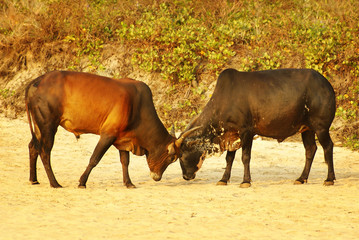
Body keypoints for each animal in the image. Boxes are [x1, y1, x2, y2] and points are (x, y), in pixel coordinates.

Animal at [25, 70, 194, 188]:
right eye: (173, 158)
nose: (156, 177)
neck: (138, 106)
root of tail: (37, 81)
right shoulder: (108, 135)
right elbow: (94, 159)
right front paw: (82, 182)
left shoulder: (123, 138)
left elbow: (125, 162)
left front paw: (128, 183)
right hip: (48, 125)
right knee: (44, 151)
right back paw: (55, 183)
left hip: (39, 126)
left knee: (33, 147)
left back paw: (34, 180)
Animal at [180, 68, 338, 188]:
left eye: (181, 155)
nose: (186, 176)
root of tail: (327, 84)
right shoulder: (232, 135)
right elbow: (229, 159)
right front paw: (223, 179)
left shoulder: (246, 132)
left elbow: (245, 157)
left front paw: (245, 181)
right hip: (307, 129)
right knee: (310, 150)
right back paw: (301, 178)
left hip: (321, 127)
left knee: (328, 147)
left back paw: (329, 179)